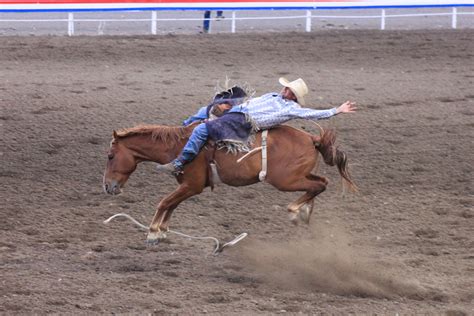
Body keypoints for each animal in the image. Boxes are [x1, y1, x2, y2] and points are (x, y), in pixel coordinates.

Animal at [103, 122, 356, 243]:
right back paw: (303, 211)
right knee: (321, 182)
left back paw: (295, 211)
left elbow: (164, 202)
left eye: (110, 156)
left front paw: (153, 232)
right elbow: (172, 203)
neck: (180, 145)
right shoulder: (188, 186)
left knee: (319, 185)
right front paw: (163, 230)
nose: (107, 186)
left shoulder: (192, 185)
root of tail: (312, 139)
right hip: (297, 176)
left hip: (285, 180)